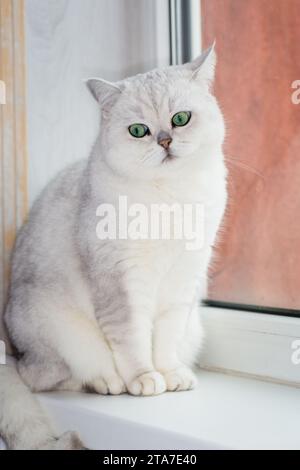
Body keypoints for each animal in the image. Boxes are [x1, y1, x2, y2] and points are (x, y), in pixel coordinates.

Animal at [0, 46, 226, 450]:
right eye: (139, 130)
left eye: (180, 119)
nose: (164, 141)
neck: (171, 196)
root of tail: (13, 352)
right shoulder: (121, 279)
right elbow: (132, 337)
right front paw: (145, 379)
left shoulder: (184, 278)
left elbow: (166, 336)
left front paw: (169, 374)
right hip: (56, 332)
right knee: (45, 377)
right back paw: (108, 382)